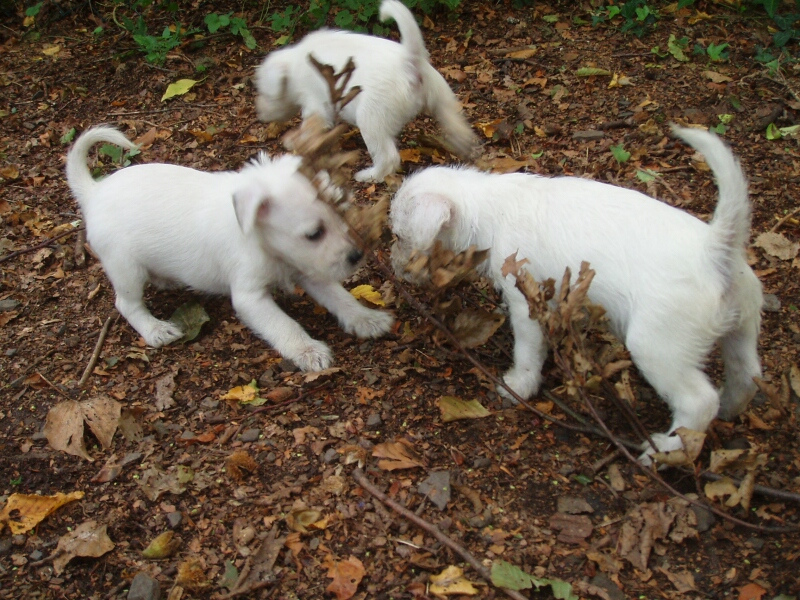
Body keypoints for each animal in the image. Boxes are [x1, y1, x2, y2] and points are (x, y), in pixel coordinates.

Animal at [68, 126, 394, 370]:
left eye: (341, 215)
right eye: (314, 234)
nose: (357, 256)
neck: (261, 241)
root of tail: (95, 191)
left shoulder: (308, 269)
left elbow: (340, 298)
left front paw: (366, 318)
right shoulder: (250, 297)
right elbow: (285, 325)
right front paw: (308, 350)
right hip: (126, 269)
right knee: (127, 304)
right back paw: (155, 329)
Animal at [253, 0, 476, 183]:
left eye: (266, 94)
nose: (260, 114)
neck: (294, 64)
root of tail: (409, 63)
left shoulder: (315, 105)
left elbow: (309, 129)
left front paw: (296, 142)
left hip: (371, 120)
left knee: (387, 157)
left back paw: (370, 175)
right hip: (443, 98)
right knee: (455, 121)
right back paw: (466, 144)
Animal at [390, 126, 764, 460]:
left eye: (398, 236)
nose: (395, 267)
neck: (487, 208)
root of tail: (714, 251)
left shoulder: (526, 303)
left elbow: (527, 351)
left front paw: (519, 385)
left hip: (657, 346)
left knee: (699, 402)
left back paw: (669, 450)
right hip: (742, 331)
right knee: (746, 375)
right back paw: (730, 409)